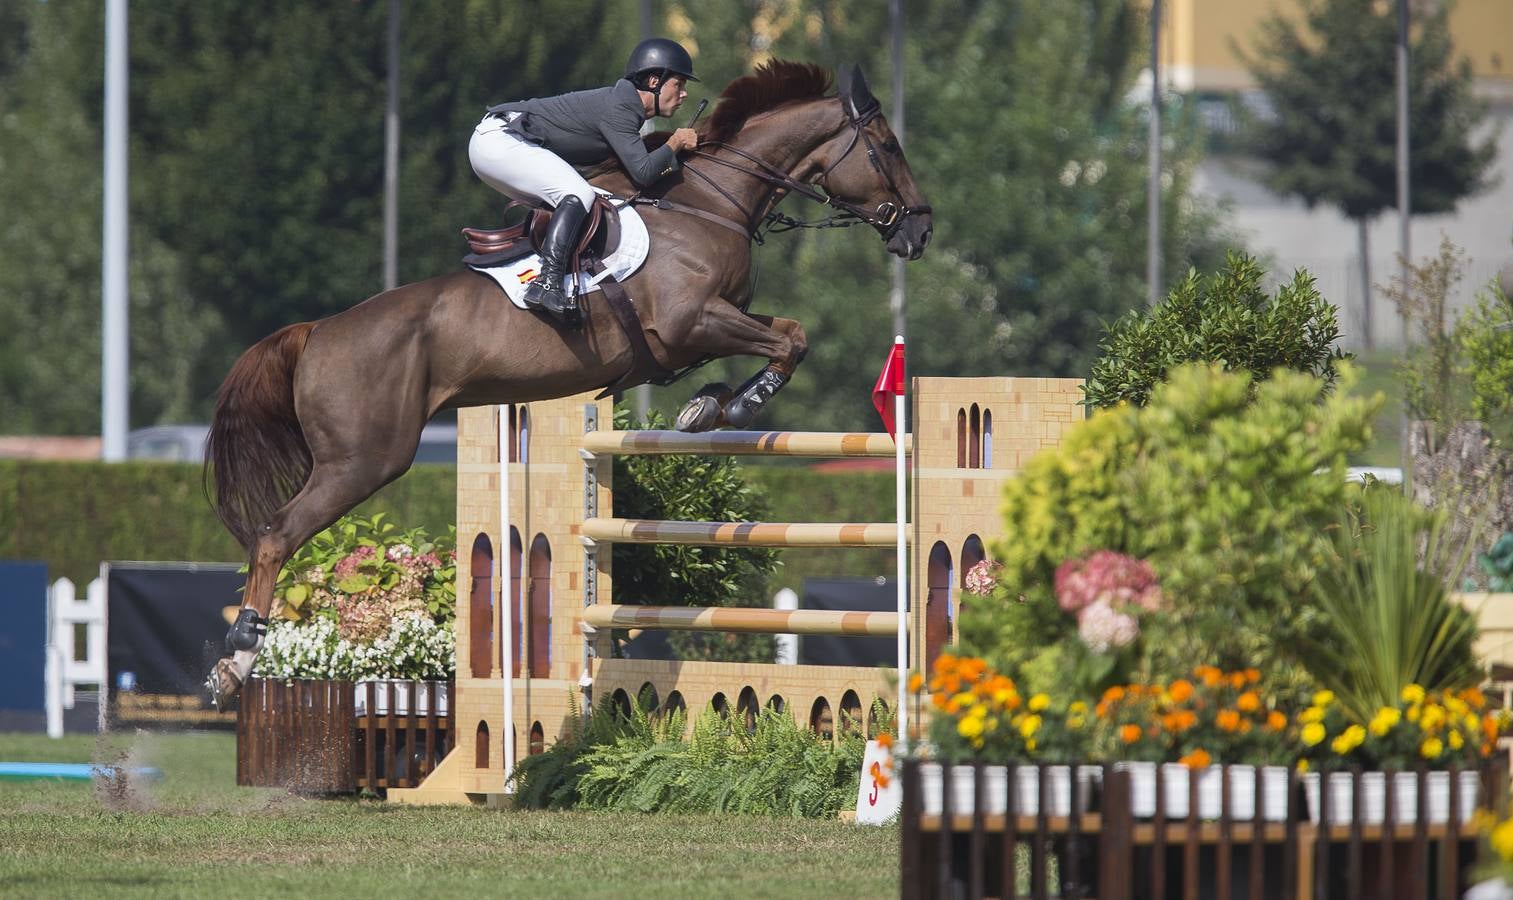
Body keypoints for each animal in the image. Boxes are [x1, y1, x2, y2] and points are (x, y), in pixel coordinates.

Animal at [201, 59, 932, 704]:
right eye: (887, 145)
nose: (920, 232)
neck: (707, 202)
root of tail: (317, 332)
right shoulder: (691, 320)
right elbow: (791, 339)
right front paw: (740, 404)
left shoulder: (709, 325)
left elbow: (781, 331)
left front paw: (705, 406)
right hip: (363, 460)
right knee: (275, 534)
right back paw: (236, 661)